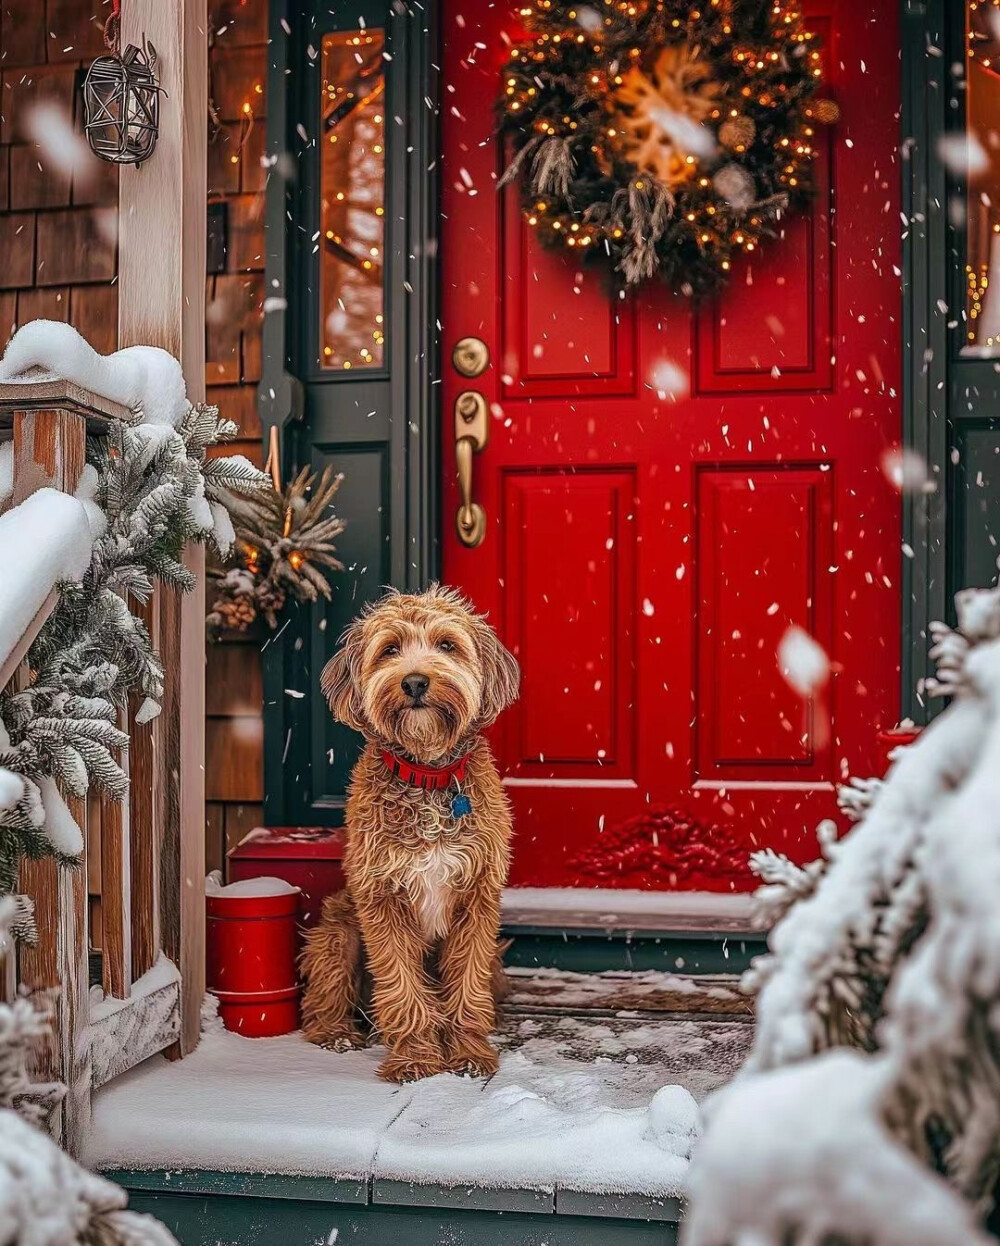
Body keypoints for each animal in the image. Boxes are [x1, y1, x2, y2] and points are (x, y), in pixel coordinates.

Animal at [301, 583, 520, 1081]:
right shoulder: (381, 898)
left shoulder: (477, 899)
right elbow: (402, 987)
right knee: (322, 997)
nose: (415, 682)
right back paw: (337, 1033)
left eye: (447, 645)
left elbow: (467, 985)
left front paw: (469, 1055)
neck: (428, 775)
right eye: (390, 649)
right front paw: (416, 1059)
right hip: (337, 928)